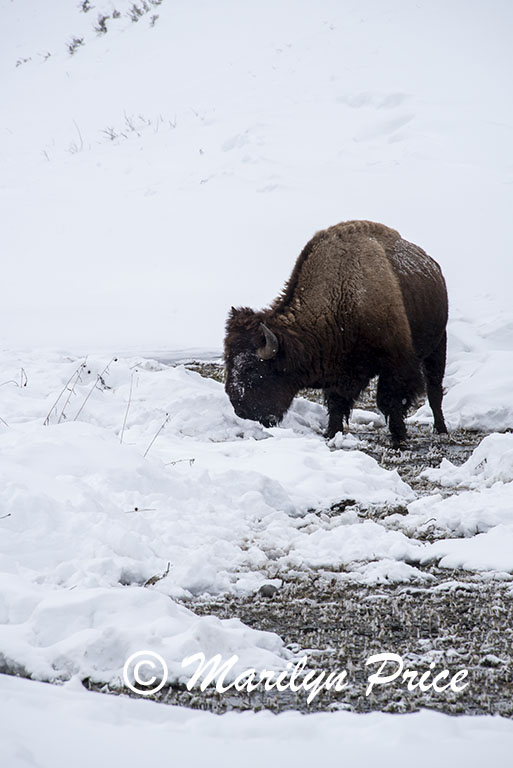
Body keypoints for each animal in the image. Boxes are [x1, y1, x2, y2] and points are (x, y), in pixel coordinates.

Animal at [224, 220, 448, 446]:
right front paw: (332, 433)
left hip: (438, 346)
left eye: (253, 369)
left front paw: (399, 436)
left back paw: (441, 429)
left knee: (434, 390)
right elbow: (336, 403)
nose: (239, 408)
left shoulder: (397, 363)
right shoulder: (338, 370)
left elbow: (391, 400)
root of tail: (434, 266)